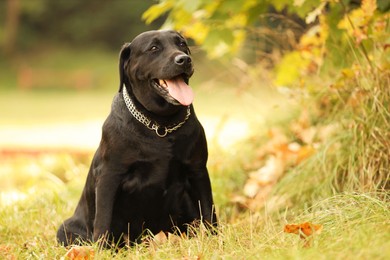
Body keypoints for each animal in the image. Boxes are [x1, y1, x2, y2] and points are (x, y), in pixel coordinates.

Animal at [56, 29, 218, 247]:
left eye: (182, 44)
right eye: (154, 48)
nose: (184, 59)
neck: (161, 125)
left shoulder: (197, 169)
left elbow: (209, 210)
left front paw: (217, 241)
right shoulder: (109, 175)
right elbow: (103, 220)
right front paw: (101, 249)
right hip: (65, 229)